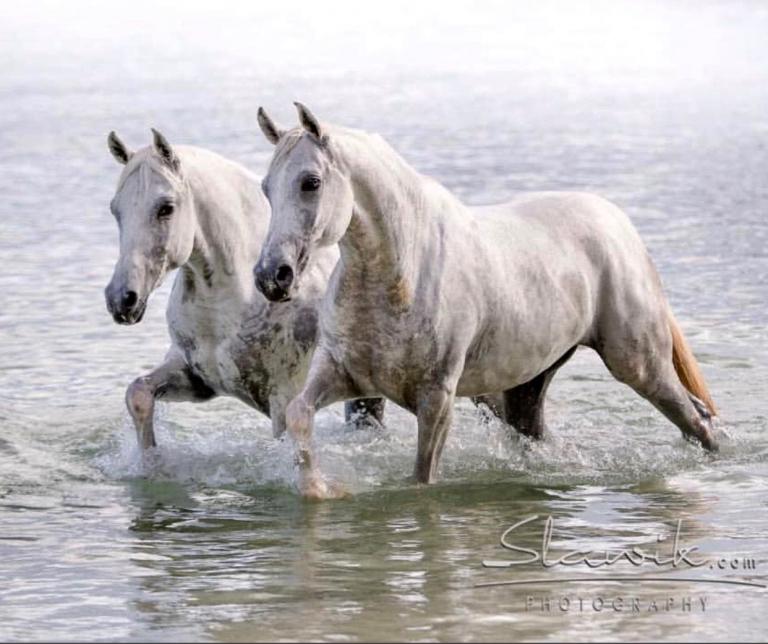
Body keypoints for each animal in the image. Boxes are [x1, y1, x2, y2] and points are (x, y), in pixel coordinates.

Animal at [104, 129, 384, 455]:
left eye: (166, 208)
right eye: (116, 210)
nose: (122, 299)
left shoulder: (283, 398)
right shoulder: (195, 379)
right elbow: (138, 394)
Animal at [252, 103, 719, 499]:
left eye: (311, 182)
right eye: (266, 189)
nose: (272, 276)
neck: (400, 274)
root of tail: (619, 224)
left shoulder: (436, 398)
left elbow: (422, 478)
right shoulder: (344, 375)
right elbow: (298, 413)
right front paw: (320, 488)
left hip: (639, 366)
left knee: (697, 422)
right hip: (529, 386)